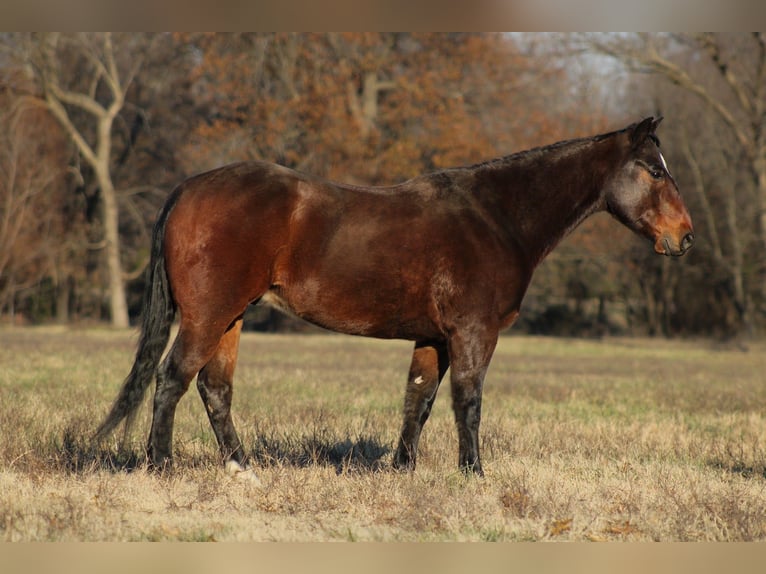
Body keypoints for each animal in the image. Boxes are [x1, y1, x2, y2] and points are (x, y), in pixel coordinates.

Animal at [95, 116, 694, 476]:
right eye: (653, 170)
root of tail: (188, 188)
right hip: (209, 315)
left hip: (232, 317)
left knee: (214, 388)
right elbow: (468, 402)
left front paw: (402, 468)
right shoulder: (473, 333)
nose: (685, 238)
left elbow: (419, 400)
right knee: (172, 380)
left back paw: (242, 469)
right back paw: (161, 465)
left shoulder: (434, 338)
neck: (495, 217)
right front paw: (473, 473)